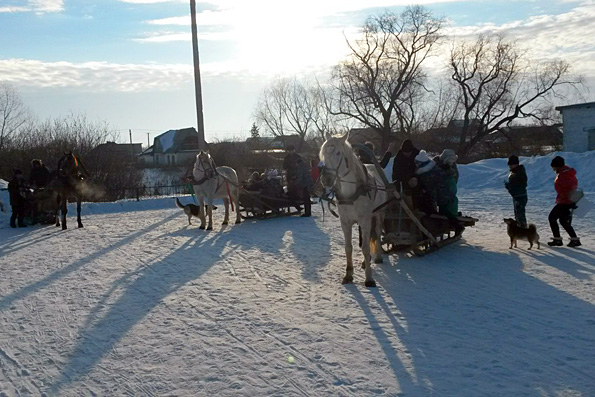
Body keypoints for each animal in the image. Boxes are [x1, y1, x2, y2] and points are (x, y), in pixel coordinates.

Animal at [318, 135, 388, 286]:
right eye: (323, 154)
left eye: (338, 153)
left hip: (379, 213)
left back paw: (378, 257)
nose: (326, 179)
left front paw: (369, 278)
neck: (352, 193)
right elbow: (348, 247)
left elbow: (366, 248)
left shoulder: (365, 220)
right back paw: (364, 262)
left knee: (377, 232)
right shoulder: (345, 222)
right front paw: (348, 274)